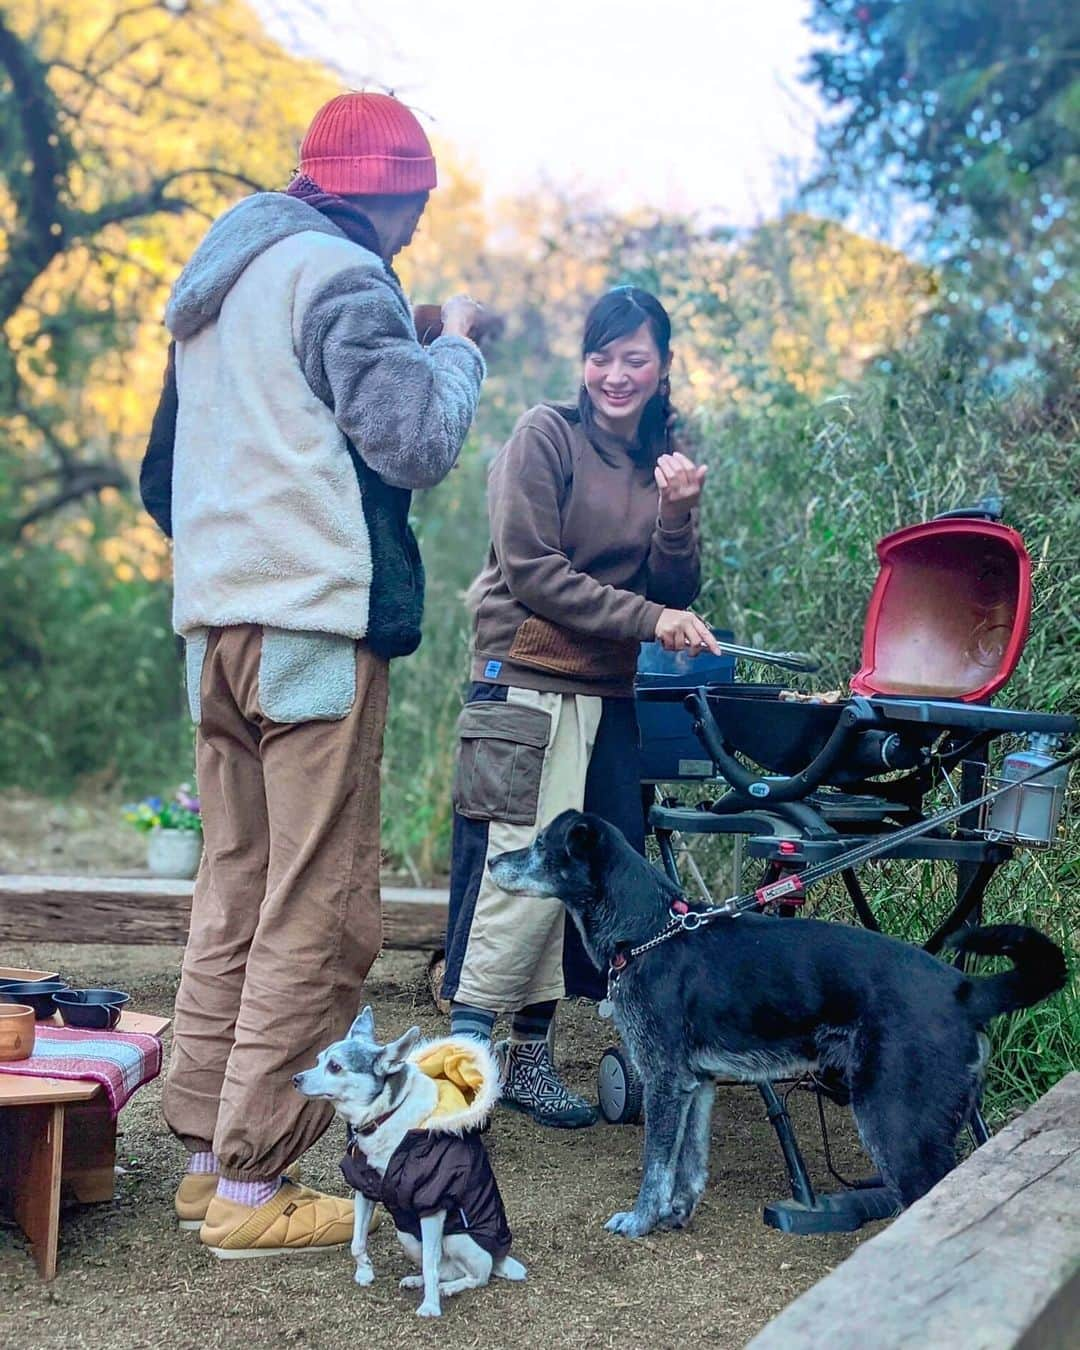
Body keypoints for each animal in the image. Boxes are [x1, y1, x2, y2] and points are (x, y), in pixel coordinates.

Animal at [292, 1009, 526, 1312]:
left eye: (334, 1066)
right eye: (318, 1060)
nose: (295, 1078)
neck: (383, 1117)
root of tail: (499, 1258)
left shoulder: (432, 1206)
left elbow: (430, 1263)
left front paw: (430, 1307)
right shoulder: (365, 1191)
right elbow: (357, 1242)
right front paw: (365, 1271)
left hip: (459, 1238)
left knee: (476, 1275)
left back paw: (449, 1288)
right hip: (407, 1235)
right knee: (444, 1266)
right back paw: (420, 1281)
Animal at [491, 804, 1069, 1236]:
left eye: (541, 846)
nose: (496, 860)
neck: (652, 929)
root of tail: (963, 991)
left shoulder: (663, 1081)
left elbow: (657, 1164)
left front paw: (639, 1220)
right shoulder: (697, 1085)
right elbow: (689, 1164)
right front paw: (676, 1216)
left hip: (895, 1121)